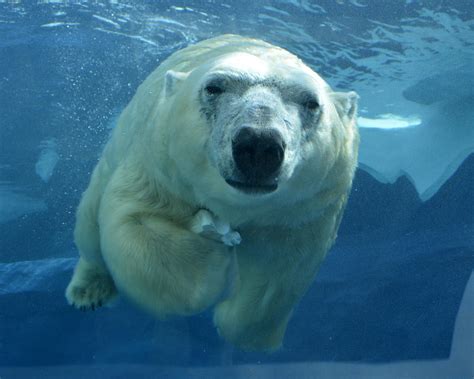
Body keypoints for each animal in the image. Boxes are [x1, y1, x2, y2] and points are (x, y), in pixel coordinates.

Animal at [65, 34, 358, 352]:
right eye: (214, 87)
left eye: (311, 103)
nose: (258, 144)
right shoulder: (159, 165)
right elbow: (134, 222)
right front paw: (210, 252)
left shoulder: (302, 210)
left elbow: (281, 274)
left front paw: (246, 332)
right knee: (89, 227)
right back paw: (88, 291)